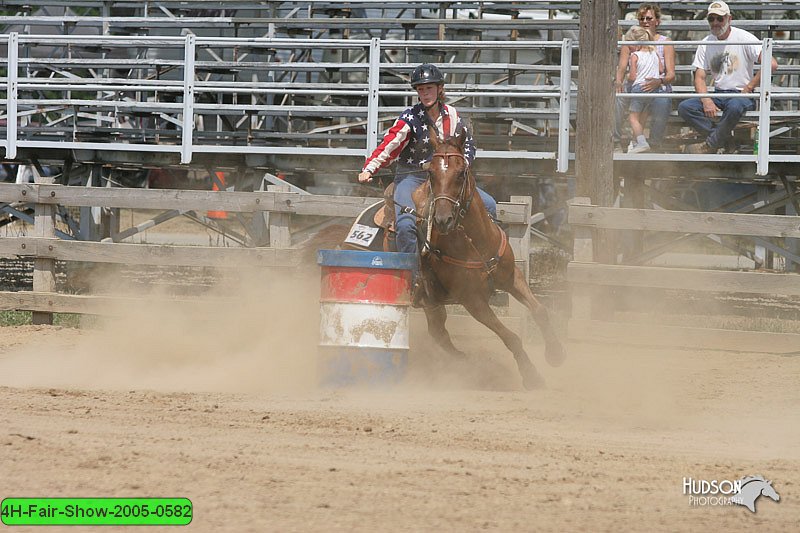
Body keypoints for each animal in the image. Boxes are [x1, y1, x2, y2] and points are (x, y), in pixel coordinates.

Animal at [410, 129, 564, 386]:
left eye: (461, 173)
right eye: (430, 173)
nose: (442, 220)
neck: (475, 243)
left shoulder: (512, 277)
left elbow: (540, 310)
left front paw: (554, 353)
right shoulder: (473, 301)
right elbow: (510, 336)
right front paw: (531, 375)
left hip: (433, 305)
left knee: (438, 332)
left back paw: (466, 362)